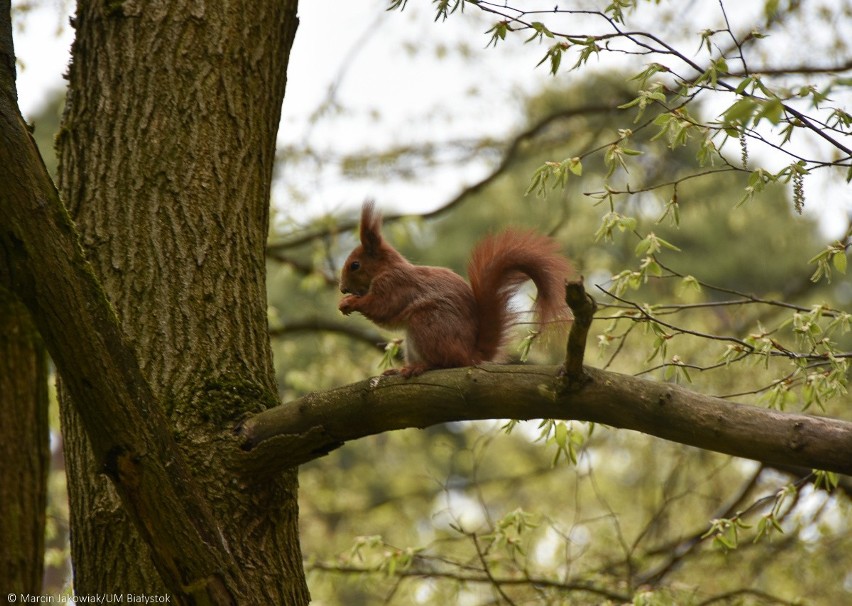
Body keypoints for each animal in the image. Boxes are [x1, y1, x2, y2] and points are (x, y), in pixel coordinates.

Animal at [340, 202, 572, 378]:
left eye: (355, 265)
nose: (342, 289)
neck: (385, 269)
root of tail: (469, 355)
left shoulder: (394, 284)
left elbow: (382, 307)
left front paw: (351, 302)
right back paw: (400, 369)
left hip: (426, 325)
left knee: (444, 362)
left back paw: (420, 366)